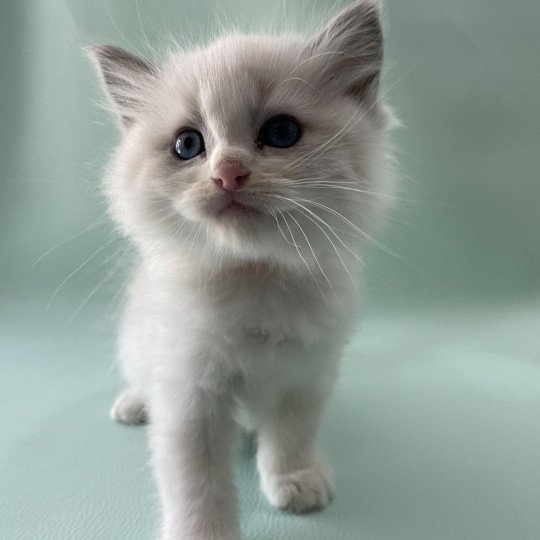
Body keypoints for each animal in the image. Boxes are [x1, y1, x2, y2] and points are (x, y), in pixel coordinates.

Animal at [87, 1, 392, 540]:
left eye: (281, 132)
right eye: (188, 145)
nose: (228, 173)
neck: (254, 279)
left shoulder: (306, 374)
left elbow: (291, 435)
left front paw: (294, 480)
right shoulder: (188, 395)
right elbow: (197, 480)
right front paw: (203, 532)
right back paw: (134, 404)